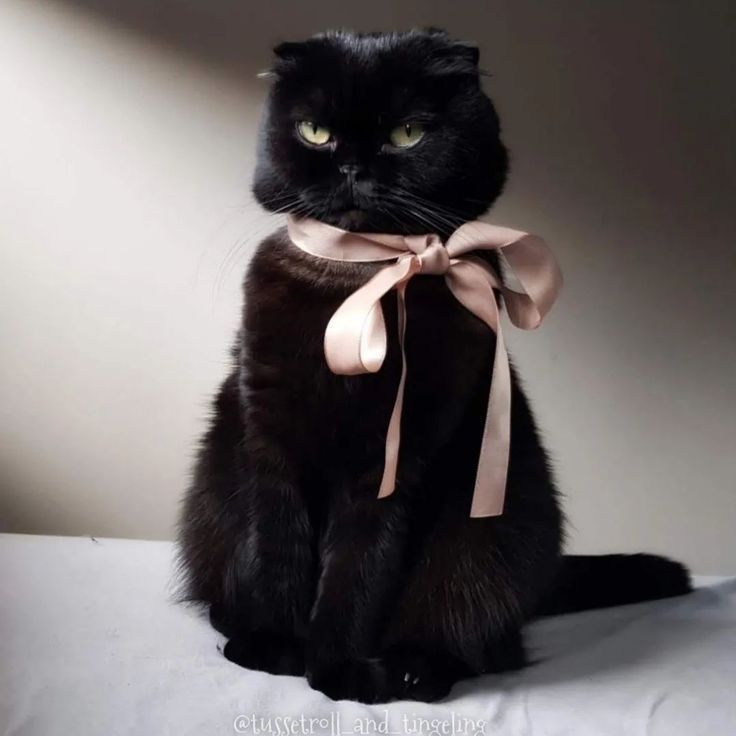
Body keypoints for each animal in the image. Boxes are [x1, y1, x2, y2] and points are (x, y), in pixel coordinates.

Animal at [177, 31, 688, 704]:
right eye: (315, 131)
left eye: (407, 133)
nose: (353, 168)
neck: (360, 275)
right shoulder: (268, 431)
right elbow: (276, 543)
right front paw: (272, 648)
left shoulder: (403, 453)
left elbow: (362, 566)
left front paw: (338, 669)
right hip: (211, 500)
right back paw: (231, 621)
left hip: (491, 537)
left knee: (480, 636)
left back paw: (414, 668)